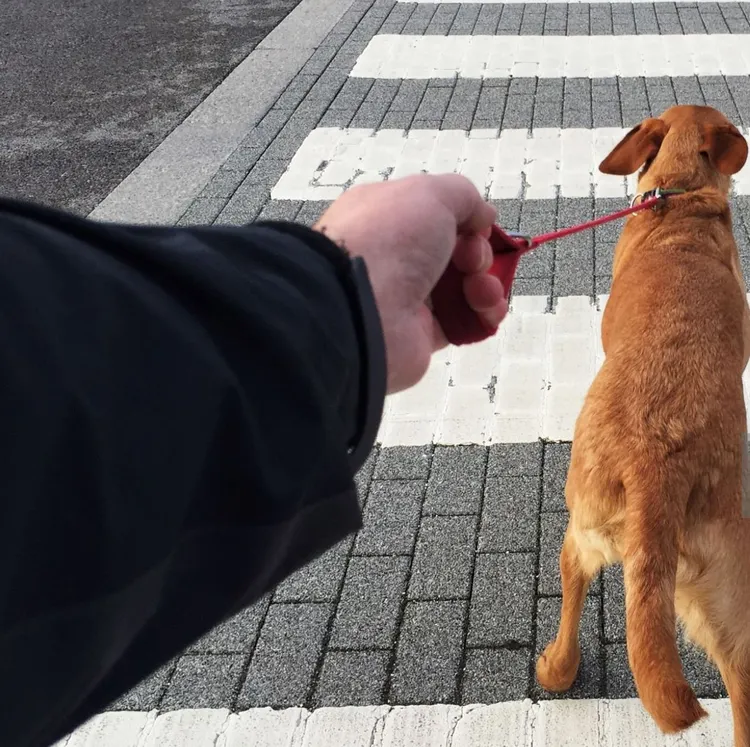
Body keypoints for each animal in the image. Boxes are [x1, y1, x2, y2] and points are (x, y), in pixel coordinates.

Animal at [536, 105, 750, 744]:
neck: (679, 196)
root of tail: (659, 463)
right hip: (728, 588)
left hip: (580, 527)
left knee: (571, 592)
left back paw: (555, 667)